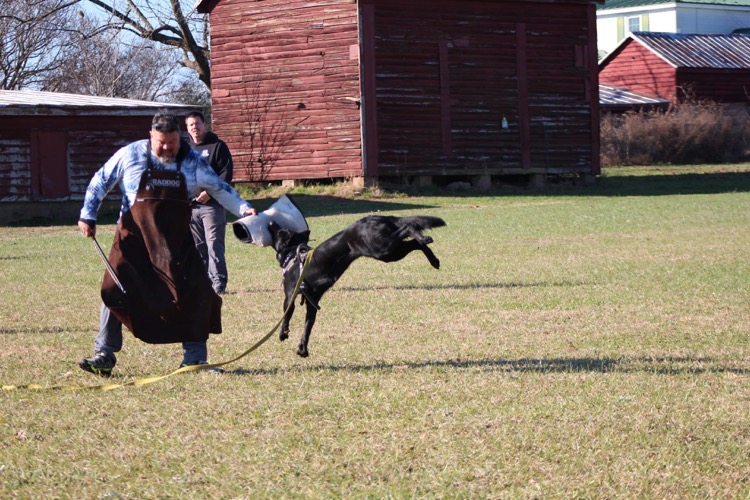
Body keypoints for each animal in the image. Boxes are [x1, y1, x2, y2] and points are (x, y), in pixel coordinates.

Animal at [270, 214, 446, 356]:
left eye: (279, 232)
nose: (271, 221)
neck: (292, 255)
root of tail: (377, 217)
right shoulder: (312, 302)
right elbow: (308, 326)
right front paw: (303, 349)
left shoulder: (289, 296)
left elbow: (286, 317)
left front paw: (283, 334)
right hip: (392, 252)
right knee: (415, 243)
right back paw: (433, 257)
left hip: (382, 248)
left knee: (408, 227)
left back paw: (423, 239)